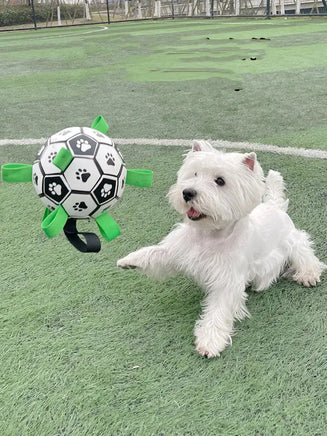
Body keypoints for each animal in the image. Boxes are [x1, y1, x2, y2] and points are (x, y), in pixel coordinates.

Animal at [117, 141, 326, 358]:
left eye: (220, 181)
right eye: (194, 174)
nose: (187, 193)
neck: (210, 234)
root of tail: (274, 205)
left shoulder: (227, 280)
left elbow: (218, 310)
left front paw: (210, 342)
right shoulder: (178, 251)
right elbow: (156, 252)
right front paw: (129, 260)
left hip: (293, 241)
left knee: (306, 255)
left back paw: (308, 275)